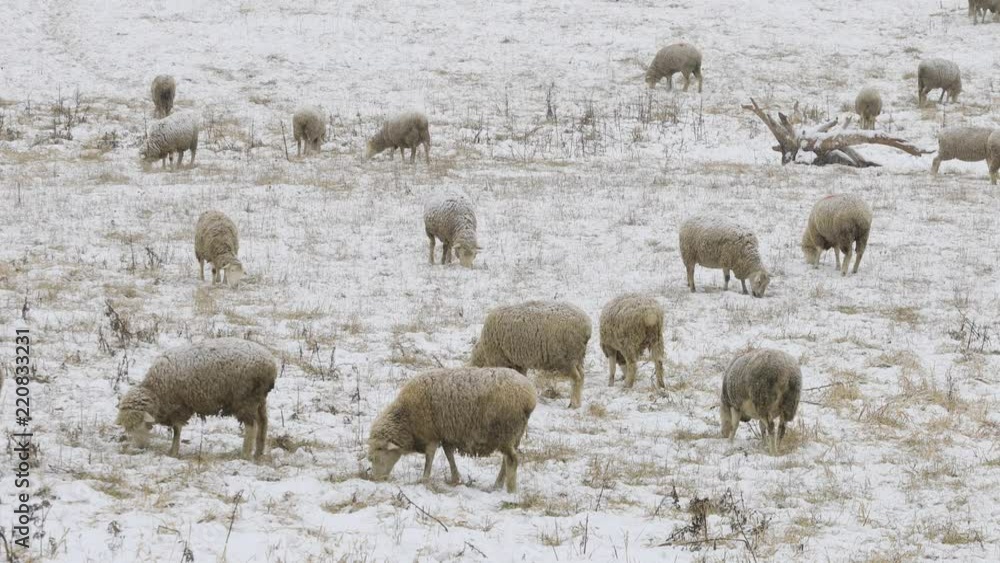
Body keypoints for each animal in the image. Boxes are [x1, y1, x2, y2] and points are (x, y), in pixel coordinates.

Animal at [116, 338, 276, 459]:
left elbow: (177, 430)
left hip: (245, 399)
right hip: (259, 399)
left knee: (251, 426)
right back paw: (259, 452)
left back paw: (245, 454)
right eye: (128, 429)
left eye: (142, 424)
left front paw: (173, 451)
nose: (139, 448)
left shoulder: (180, 406)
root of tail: (271, 364)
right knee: (263, 422)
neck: (156, 392)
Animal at [367, 367, 535, 493]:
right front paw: (455, 478)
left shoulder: (431, 435)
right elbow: (449, 455)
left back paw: (510, 490)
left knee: (512, 460)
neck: (406, 418)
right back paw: (498, 485)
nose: (376, 480)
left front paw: (424, 480)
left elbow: (429, 458)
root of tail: (530, 396)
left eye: (376, 456)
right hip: (514, 435)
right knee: (506, 461)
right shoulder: (447, 434)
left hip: (507, 431)